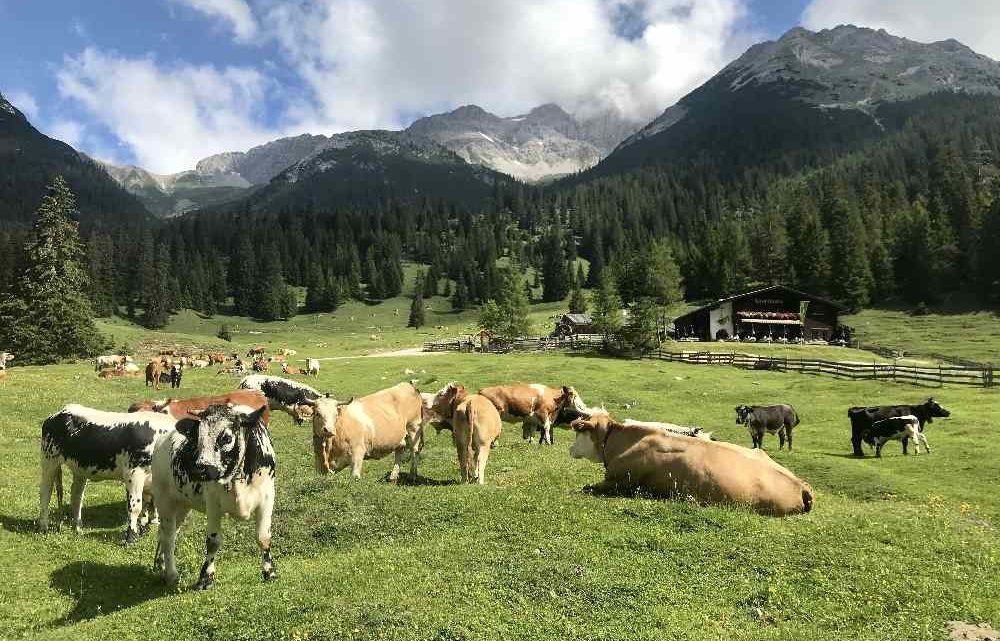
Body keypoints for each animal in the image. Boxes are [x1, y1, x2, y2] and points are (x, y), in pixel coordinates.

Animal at [39, 402, 178, 544]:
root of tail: (61, 412)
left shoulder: (149, 480)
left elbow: (145, 504)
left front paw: (143, 530)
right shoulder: (133, 474)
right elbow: (135, 507)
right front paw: (131, 538)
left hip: (79, 469)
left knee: (76, 496)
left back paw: (77, 527)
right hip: (49, 460)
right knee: (45, 492)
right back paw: (43, 526)